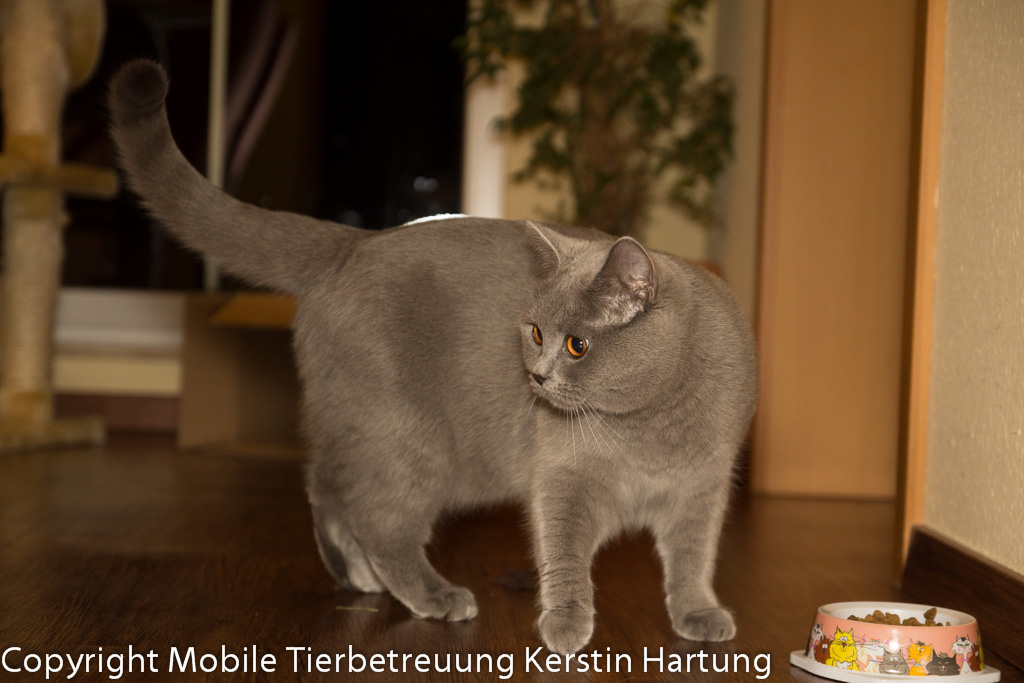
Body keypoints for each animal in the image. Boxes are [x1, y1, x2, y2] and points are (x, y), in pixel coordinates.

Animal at [107, 60, 758, 655]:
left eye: (575, 344)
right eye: (535, 331)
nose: (537, 375)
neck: (650, 425)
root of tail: (351, 242)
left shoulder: (703, 488)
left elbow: (693, 558)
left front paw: (699, 614)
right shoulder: (564, 476)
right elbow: (566, 554)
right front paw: (566, 629)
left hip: (356, 423)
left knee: (325, 484)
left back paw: (357, 576)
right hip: (407, 436)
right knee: (379, 516)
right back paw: (434, 595)